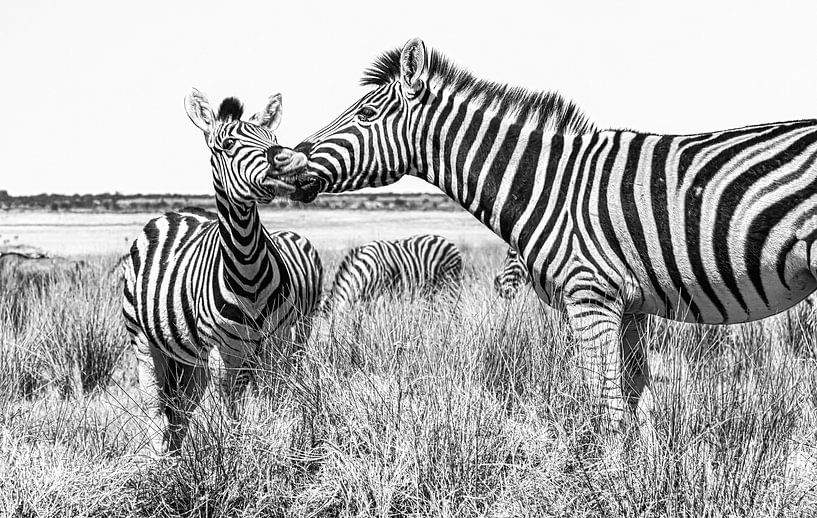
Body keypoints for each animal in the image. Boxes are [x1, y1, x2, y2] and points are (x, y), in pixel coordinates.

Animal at [122, 89, 322, 453]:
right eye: (228, 145)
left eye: (274, 139)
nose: (301, 174)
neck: (248, 267)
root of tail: (174, 213)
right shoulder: (221, 353)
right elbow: (231, 415)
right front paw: (233, 457)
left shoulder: (277, 343)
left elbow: (274, 403)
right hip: (144, 342)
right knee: (156, 410)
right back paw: (159, 460)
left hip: (190, 360)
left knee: (181, 412)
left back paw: (176, 460)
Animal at [322, 234, 463, 313]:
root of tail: (446, 241)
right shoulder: (366, 297)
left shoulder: (380, 294)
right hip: (430, 289)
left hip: (451, 282)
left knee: (454, 305)